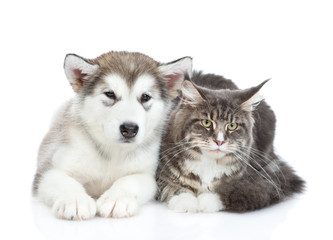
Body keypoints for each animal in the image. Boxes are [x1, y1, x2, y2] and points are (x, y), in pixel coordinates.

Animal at [33, 51, 192, 219]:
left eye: (145, 97)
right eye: (110, 94)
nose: (129, 128)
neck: (113, 152)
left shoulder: (147, 175)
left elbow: (130, 181)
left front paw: (117, 199)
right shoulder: (47, 171)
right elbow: (63, 181)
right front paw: (75, 201)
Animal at [156, 71, 304, 212]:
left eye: (232, 126)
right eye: (206, 122)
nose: (219, 141)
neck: (209, 164)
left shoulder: (252, 177)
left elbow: (222, 192)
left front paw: (206, 202)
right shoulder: (161, 176)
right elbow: (175, 188)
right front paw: (186, 203)